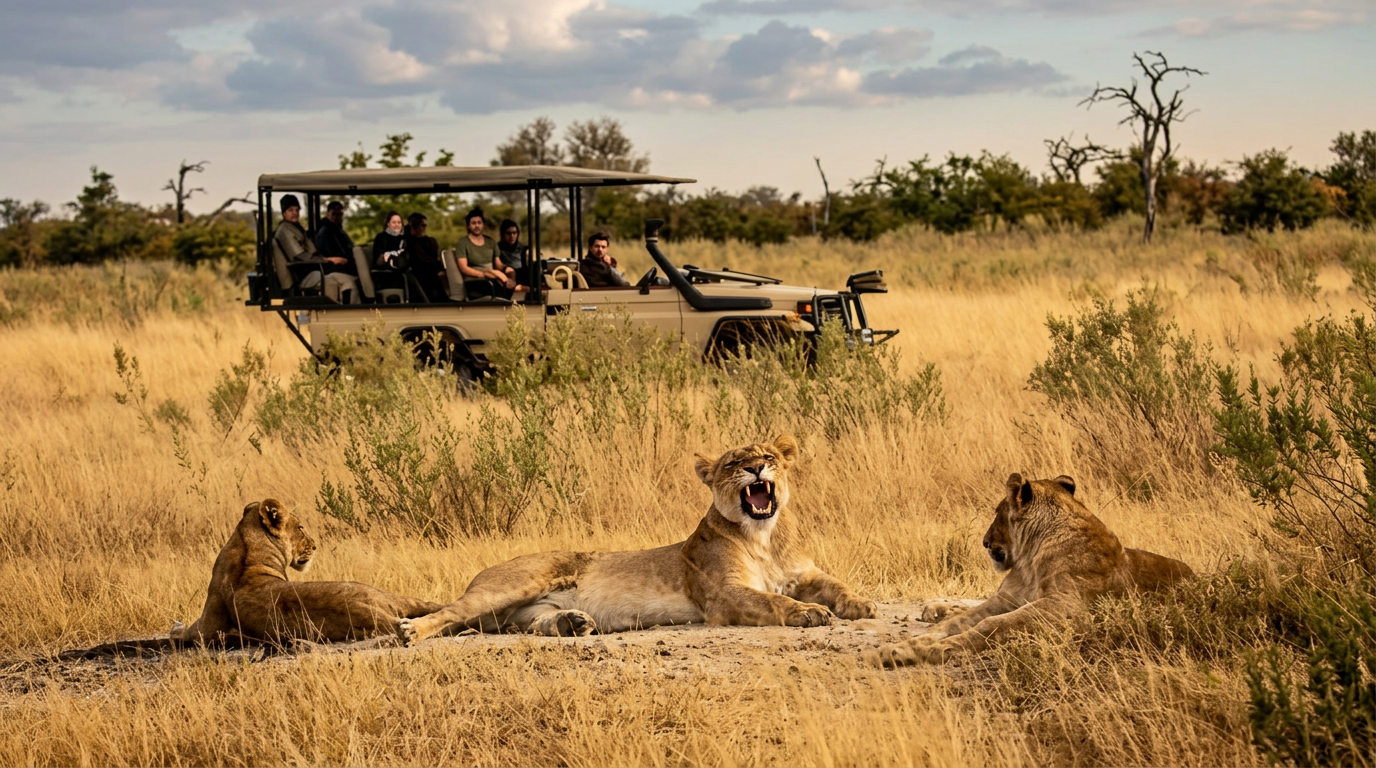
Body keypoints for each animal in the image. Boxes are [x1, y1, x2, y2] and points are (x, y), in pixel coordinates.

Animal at [172, 498, 442, 646]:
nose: (315, 545)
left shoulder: (205, 628)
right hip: (385, 594)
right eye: (300, 527)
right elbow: (182, 633)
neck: (246, 549)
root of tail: (370, 611)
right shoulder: (203, 630)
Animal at [397, 435, 875, 644]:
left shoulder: (804, 573)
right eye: (732, 463)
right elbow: (773, 600)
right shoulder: (724, 595)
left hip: (527, 609)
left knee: (529, 624)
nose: (756, 468)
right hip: (512, 584)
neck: (763, 536)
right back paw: (411, 631)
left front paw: (861, 604)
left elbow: (837, 584)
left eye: (769, 456)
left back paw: (573, 624)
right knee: (450, 613)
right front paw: (810, 613)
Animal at [867, 473, 1194, 667]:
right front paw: (902, 648)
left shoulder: (1068, 606)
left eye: (998, 513)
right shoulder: (1004, 599)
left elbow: (992, 625)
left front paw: (940, 649)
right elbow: (958, 622)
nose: (985, 542)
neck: (1030, 558)